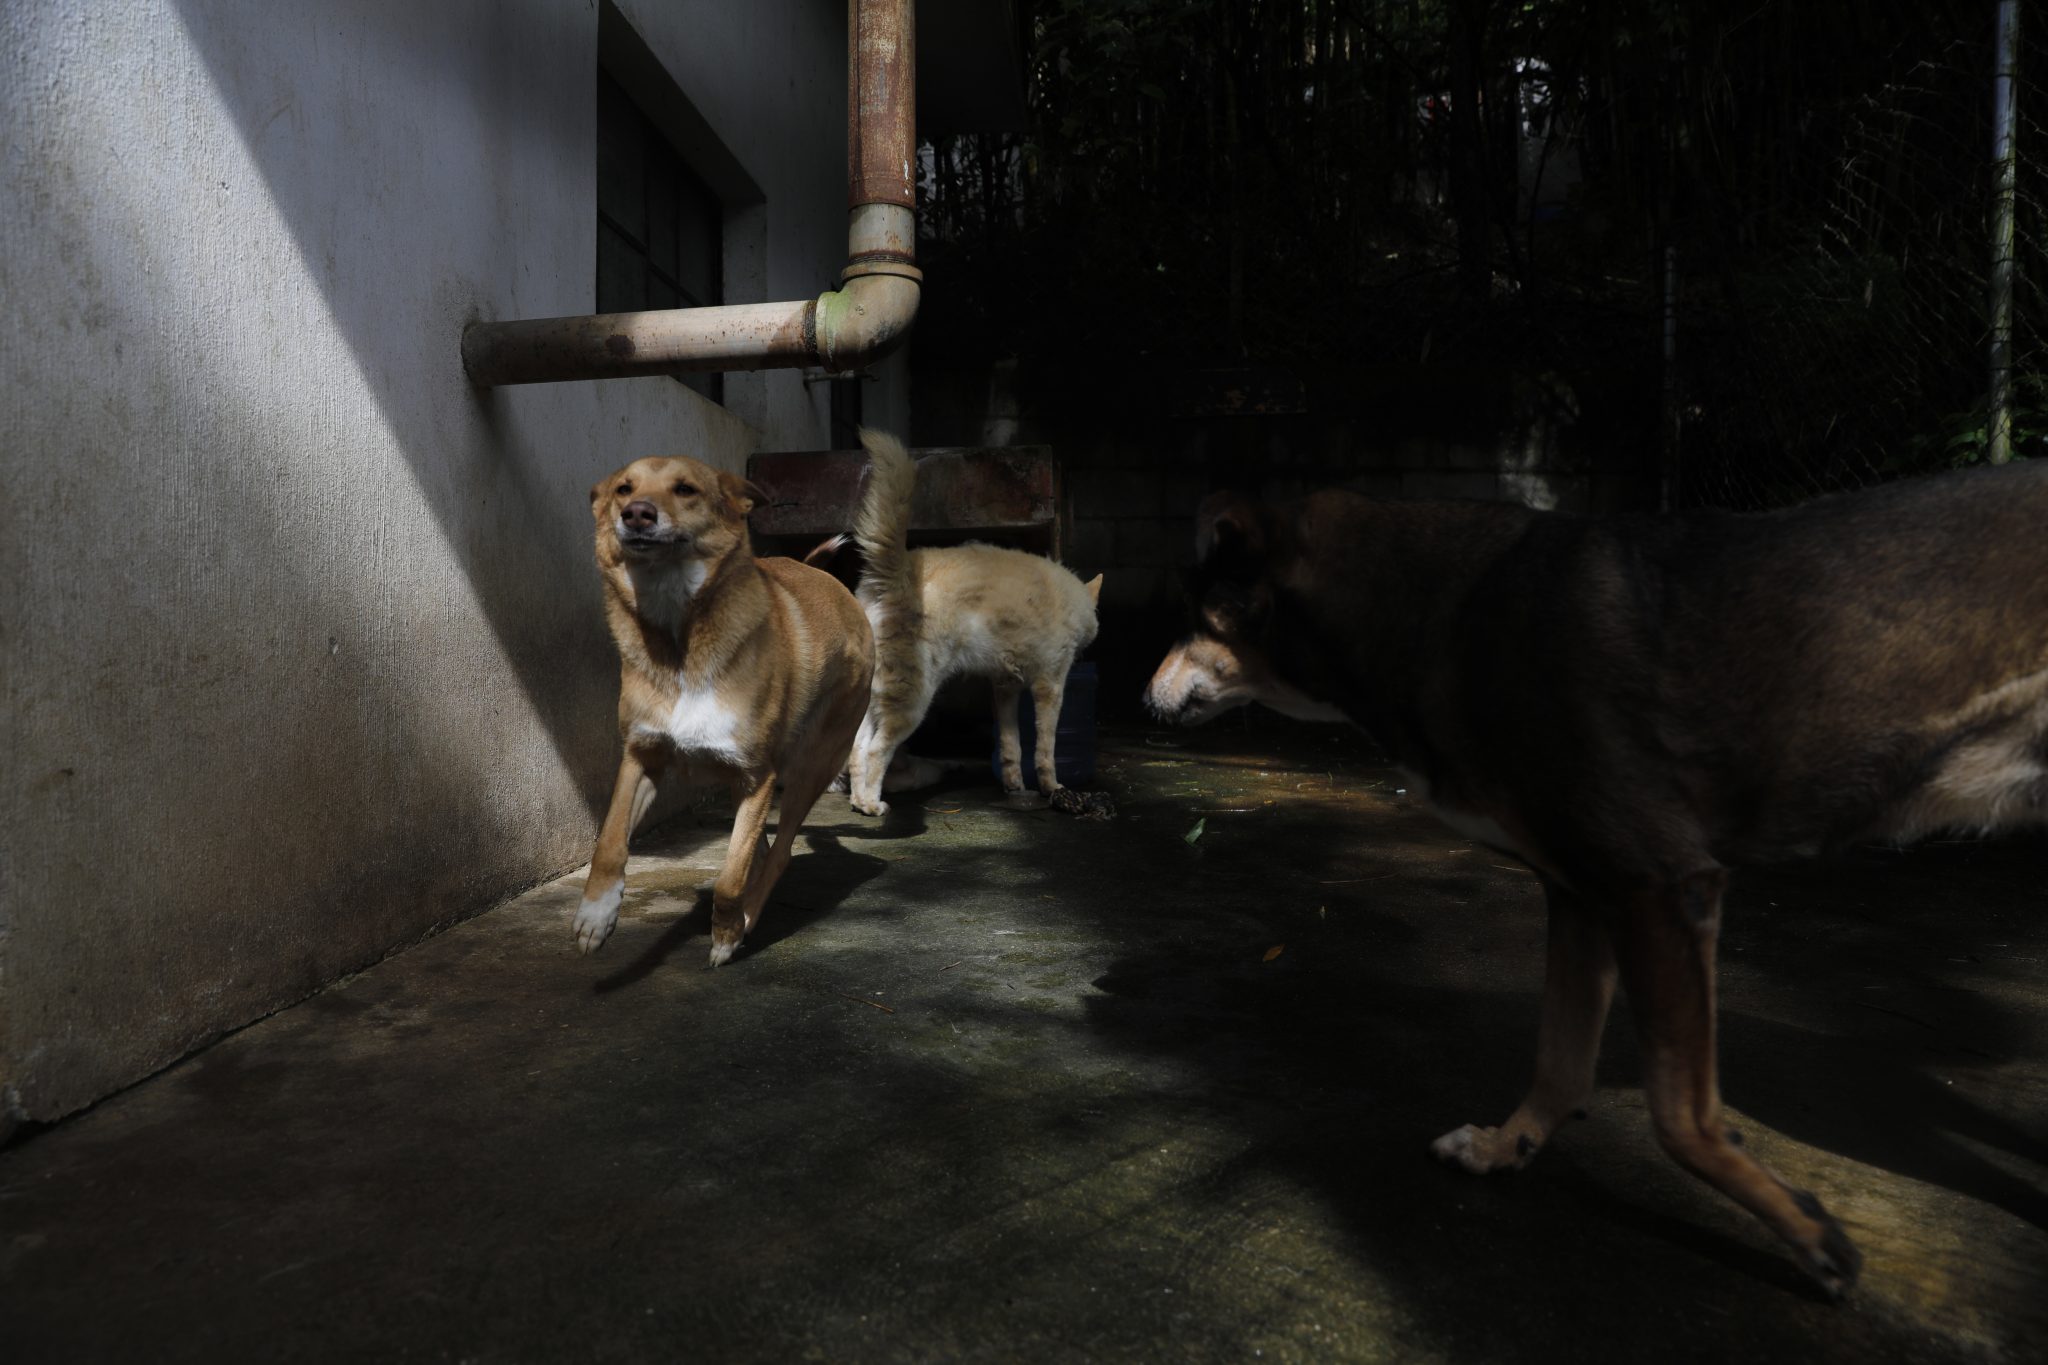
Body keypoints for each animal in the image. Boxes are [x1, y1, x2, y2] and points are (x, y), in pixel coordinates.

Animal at [1146, 456, 2048, 1293]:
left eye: (1192, 617)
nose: (1143, 694)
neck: (1431, 608)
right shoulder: (1582, 894)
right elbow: (1561, 1057)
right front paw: (1507, 1145)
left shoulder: (1660, 888)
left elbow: (1681, 1119)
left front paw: (1808, 1231)